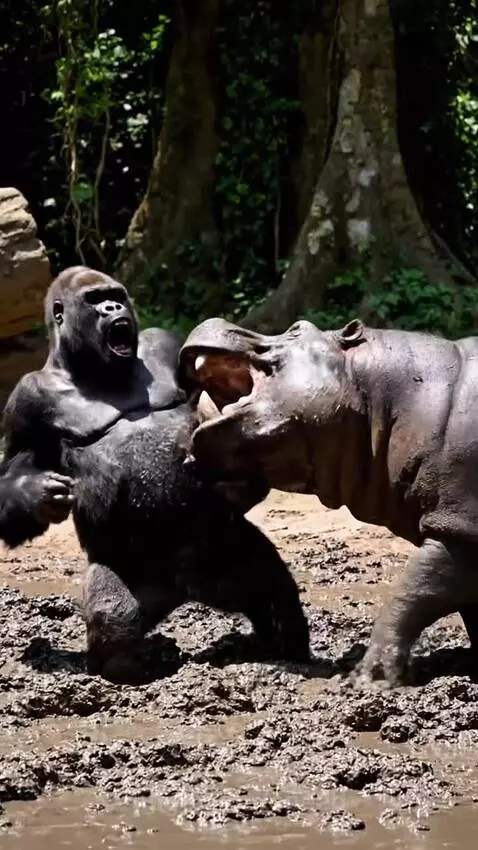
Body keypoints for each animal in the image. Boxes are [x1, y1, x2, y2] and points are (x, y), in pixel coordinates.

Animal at [179, 316, 478, 686]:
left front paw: (366, 679)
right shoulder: (457, 529)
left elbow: (412, 595)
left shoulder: (459, 527)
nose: (213, 321)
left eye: (296, 328)